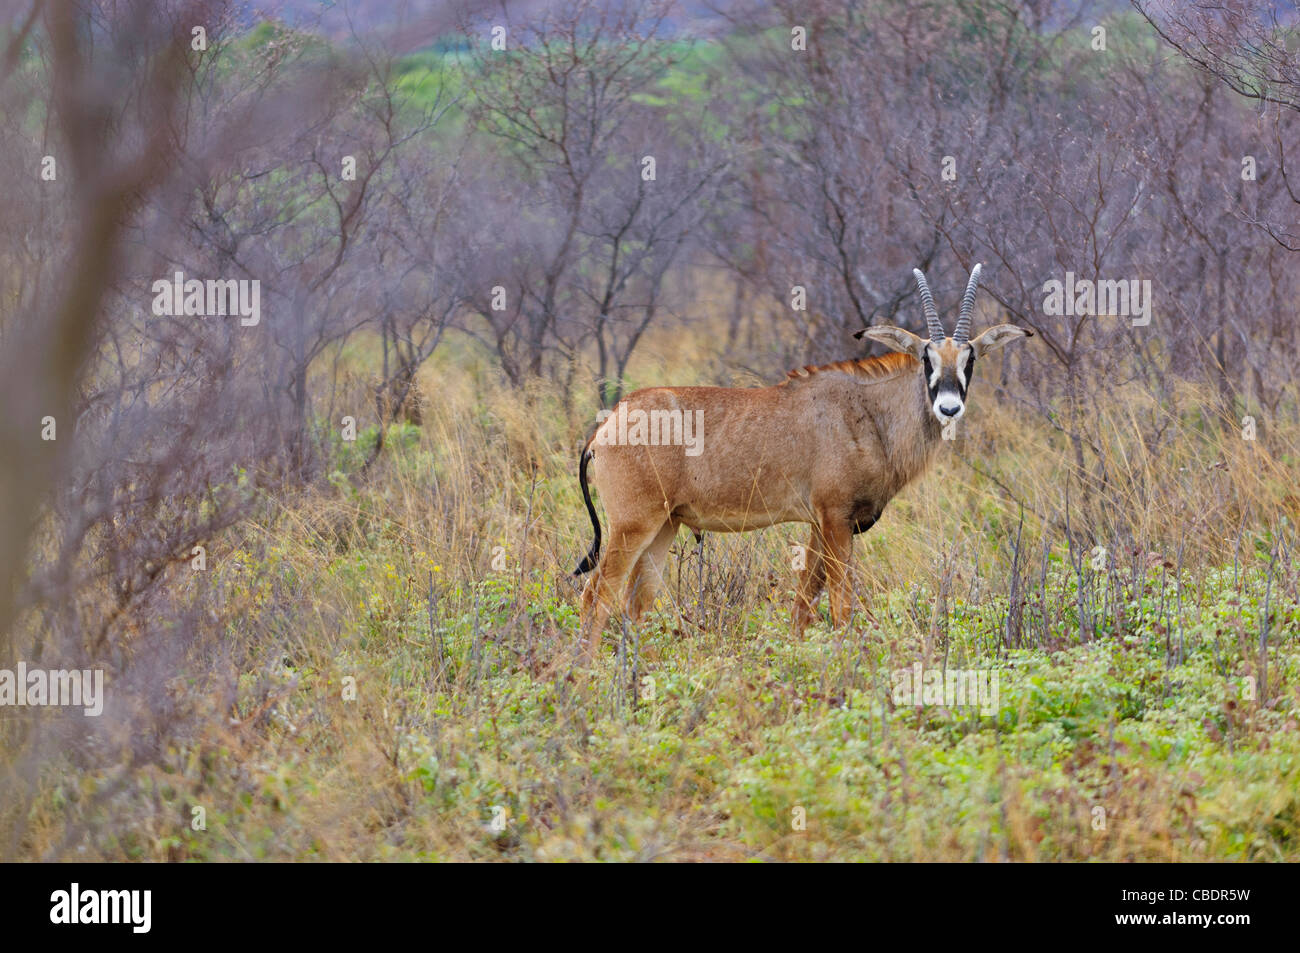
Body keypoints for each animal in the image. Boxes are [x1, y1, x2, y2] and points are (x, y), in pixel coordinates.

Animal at [574, 263, 1029, 657]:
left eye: (970, 359)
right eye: (926, 358)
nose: (949, 407)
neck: (870, 412)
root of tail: (607, 425)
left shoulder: (818, 523)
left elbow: (803, 605)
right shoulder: (836, 518)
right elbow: (841, 605)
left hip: (665, 525)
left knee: (635, 601)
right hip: (634, 524)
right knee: (597, 594)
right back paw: (586, 676)